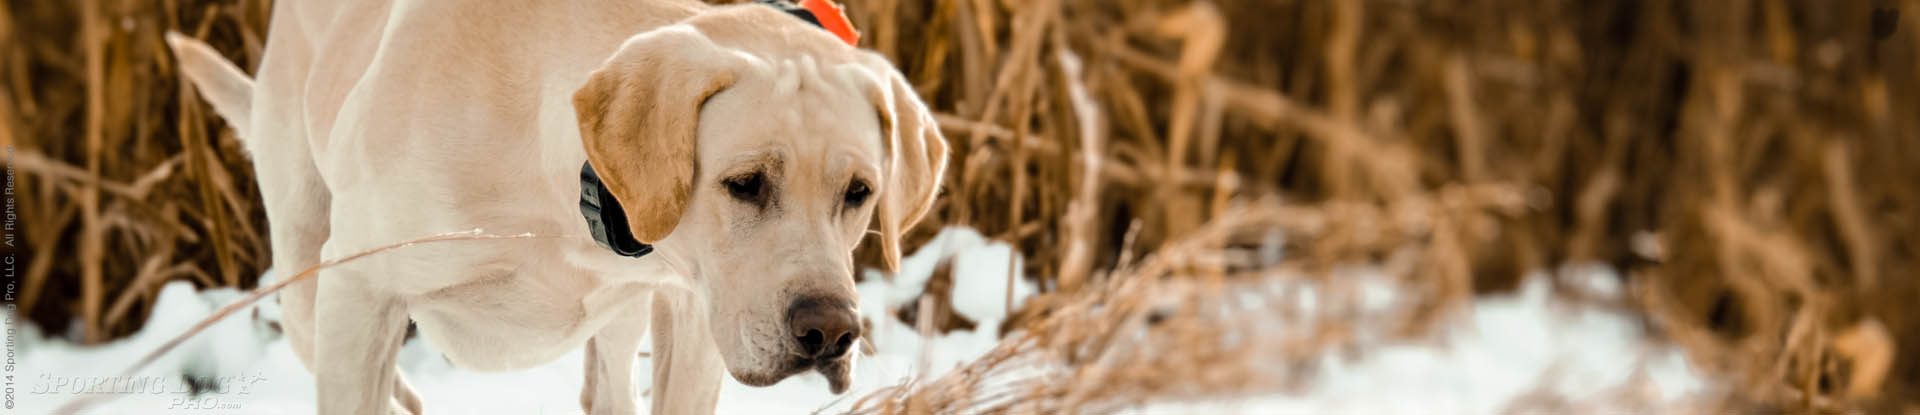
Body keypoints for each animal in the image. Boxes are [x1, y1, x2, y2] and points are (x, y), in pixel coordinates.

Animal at [163, 0, 944, 411]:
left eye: (859, 193)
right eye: (746, 182)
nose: (831, 333)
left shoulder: (691, 308)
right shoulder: (361, 288)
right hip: (305, 271)